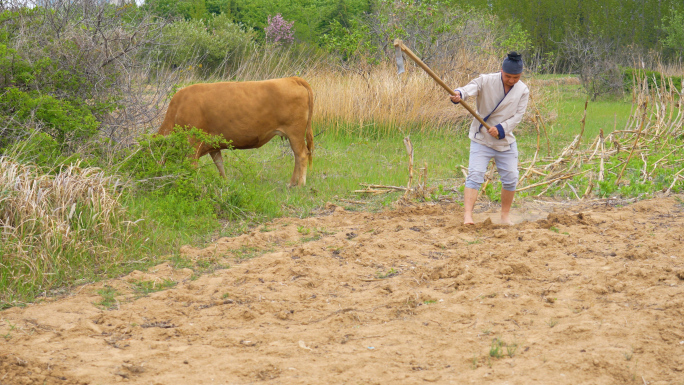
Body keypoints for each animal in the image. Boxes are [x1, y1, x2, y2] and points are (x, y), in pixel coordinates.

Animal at [157, 76, 312, 186]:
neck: (177, 109)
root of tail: (292, 78)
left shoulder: (193, 142)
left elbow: (192, 166)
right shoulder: (213, 146)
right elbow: (220, 165)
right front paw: (225, 183)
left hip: (295, 132)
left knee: (302, 154)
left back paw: (300, 184)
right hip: (293, 135)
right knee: (297, 156)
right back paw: (291, 183)